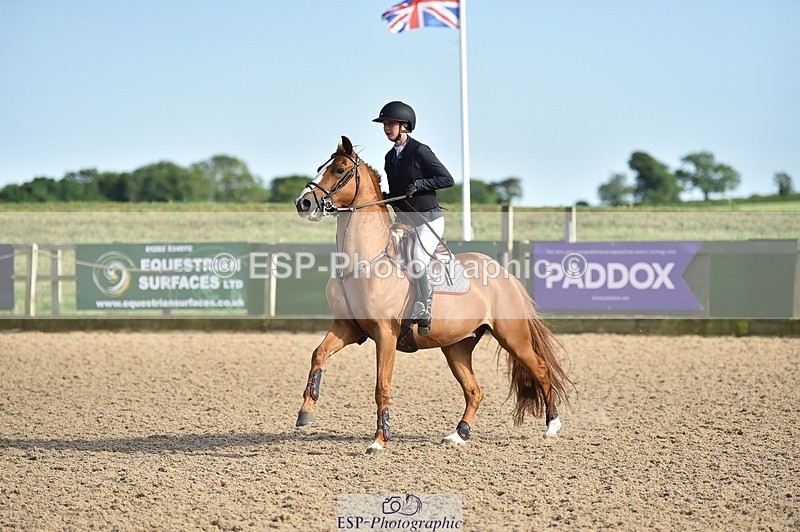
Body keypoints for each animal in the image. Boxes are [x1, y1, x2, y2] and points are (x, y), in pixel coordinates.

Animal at [294, 136, 573, 455]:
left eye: (339, 170)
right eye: (322, 167)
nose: (303, 202)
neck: (361, 261)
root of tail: (506, 274)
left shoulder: (385, 334)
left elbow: (382, 386)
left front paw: (379, 441)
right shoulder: (347, 327)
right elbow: (318, 355)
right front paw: (306, 411)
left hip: (513, 337)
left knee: (540, 369)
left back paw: (551, 425)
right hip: (457, 346)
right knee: (475, 390)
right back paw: (459, 434)